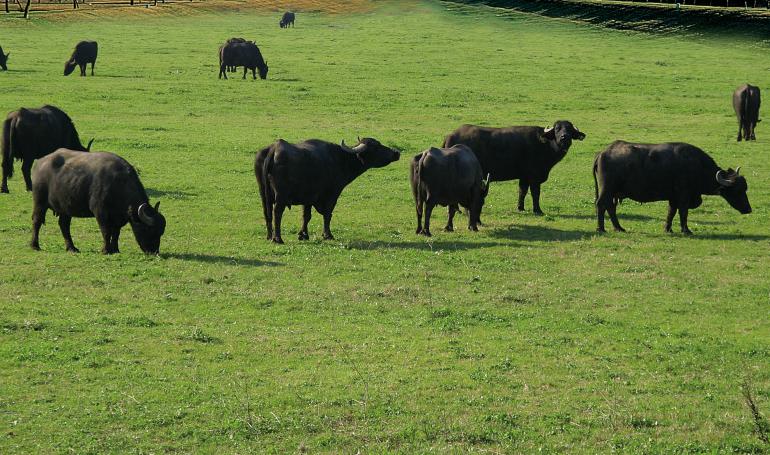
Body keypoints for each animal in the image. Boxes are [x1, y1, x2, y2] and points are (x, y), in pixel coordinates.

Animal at [31, 151, 165, 255]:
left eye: (160, 232)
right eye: (149, 229)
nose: (154, 251)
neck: (118, 184)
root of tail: (40, 162)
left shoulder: (118, 217)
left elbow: (116, 233)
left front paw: (115, 249)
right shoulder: (100, 212)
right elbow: (106, 231)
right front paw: (105, 250)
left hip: (66, 207)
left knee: (64, 225)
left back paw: (72, 248)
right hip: (40, 202)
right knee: (37, 221)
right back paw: (35, 245)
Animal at [256, 137, 402, 244]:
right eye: (376, 146)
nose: (396, 153)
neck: (340, 159)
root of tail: (273, 149)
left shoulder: (308, 198)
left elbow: (306, 216)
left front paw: (303, 235)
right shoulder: (332, 194)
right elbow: (327, 214)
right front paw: (328, 235)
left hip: (263, 193)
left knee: (267, 212)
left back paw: (269, 236)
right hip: (281, 196)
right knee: (277, 212)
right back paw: (278, 238)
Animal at [440, 119, 584, 216]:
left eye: (569, 129)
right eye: (557, 129)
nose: (564, 137)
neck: (544, 144)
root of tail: (450, 135)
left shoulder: (524, 177)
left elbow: (522, 191)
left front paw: (520, 207)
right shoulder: (534, 177)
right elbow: (535, 193)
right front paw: (538, 210)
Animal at [592, 141, 748, 235]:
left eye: (745, 188)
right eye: (737, 190)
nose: (748, 209)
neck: (697, 167)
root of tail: (602, 153)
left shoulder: (673, 198)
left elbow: (671, 212)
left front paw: (668, 229)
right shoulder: (684, 196)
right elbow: (683, 213)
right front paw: (686, 230)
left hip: (612, 192)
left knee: (610, 207)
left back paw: (619, 228)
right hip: (607, 189)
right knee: (601, 205)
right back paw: (601, 229)